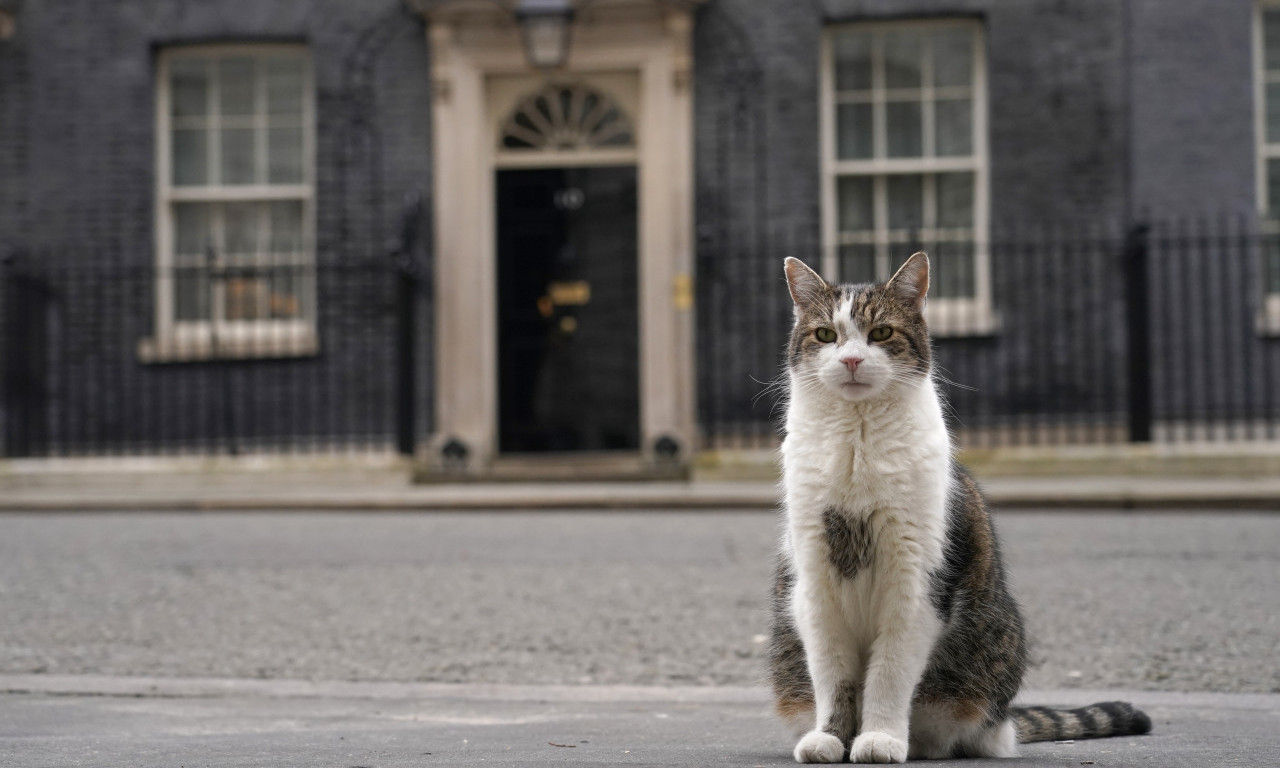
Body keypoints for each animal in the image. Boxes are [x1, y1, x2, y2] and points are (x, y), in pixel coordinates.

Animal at [768, 253, 1152, 762]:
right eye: (826, 335)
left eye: (881, 333)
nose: (850, 360)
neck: (857, 443)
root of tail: (1006, 720)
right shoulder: (815, 581)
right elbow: (833, 674)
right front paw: (830, 737)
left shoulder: (916, 582)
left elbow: (889, 673)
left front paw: (880, 738)